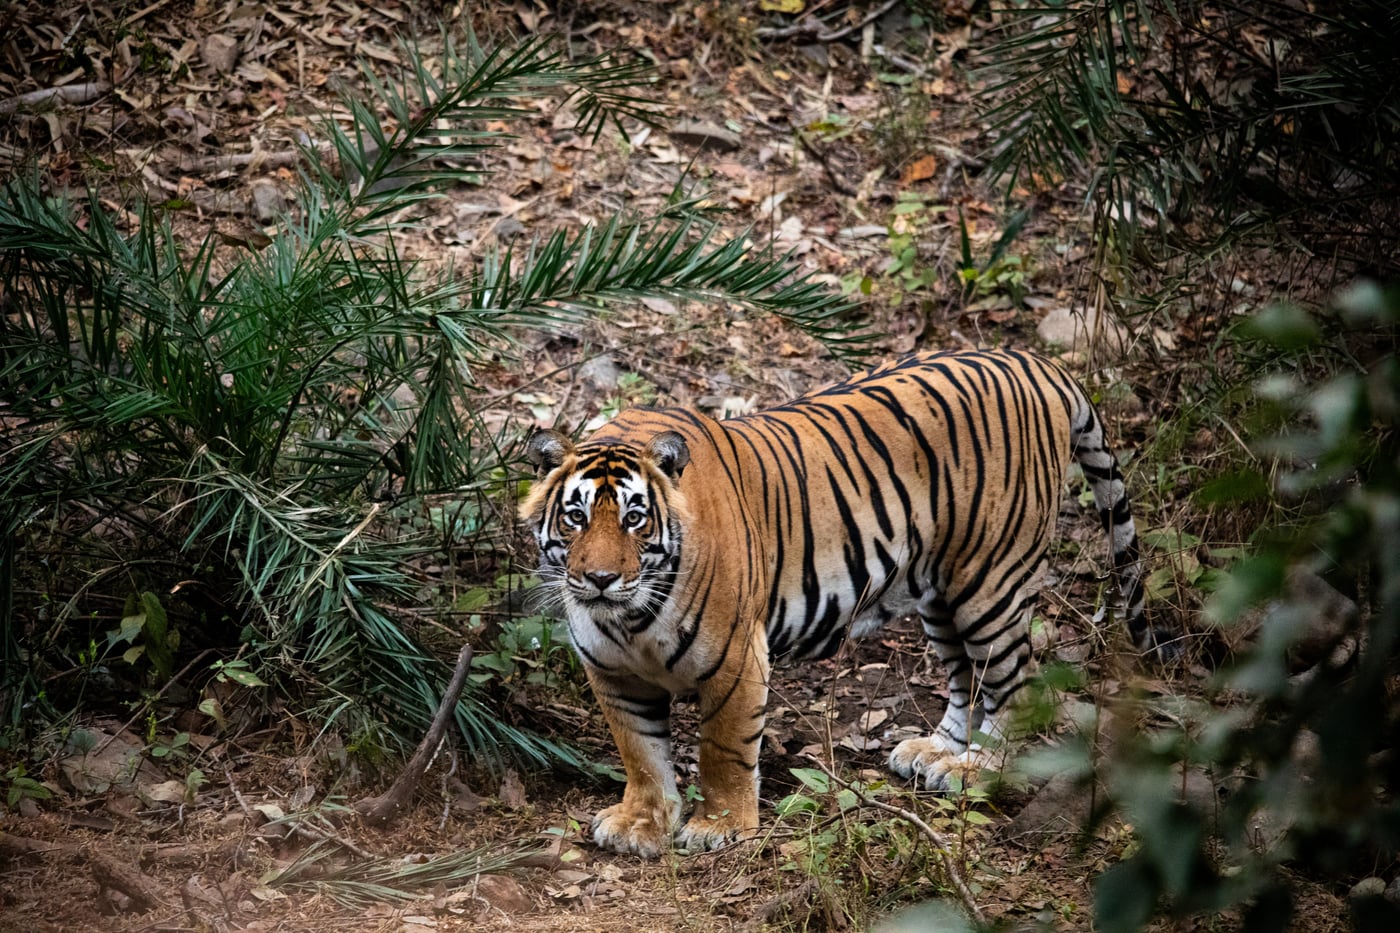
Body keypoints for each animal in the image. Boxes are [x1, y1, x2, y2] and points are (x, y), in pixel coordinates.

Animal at [519, 347, 1170, 858]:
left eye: (634, 519)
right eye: (576, 518)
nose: (600, 578)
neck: (628, 620)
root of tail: (1032, 360)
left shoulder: (736, 660)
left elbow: (723, 748)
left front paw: (720, 828)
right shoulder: (612, 673)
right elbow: (640, 753)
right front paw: (640, 823)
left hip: (992, 583)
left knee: (1015, 681)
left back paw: (977, 769)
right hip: (941, 591)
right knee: (965, 675)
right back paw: (936, 752)